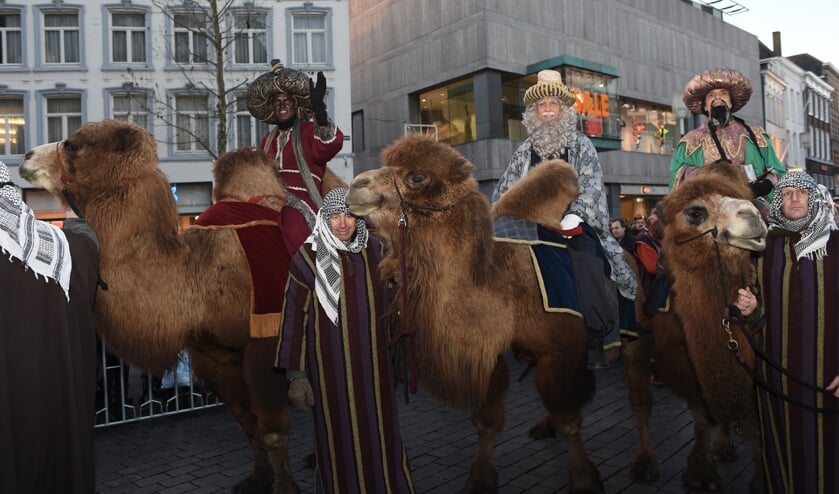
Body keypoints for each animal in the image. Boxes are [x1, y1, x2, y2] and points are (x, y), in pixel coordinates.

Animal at [18, 119, 344, 494]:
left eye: (73, 145)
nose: (26, 157)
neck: (198, 277)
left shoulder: (265, 339)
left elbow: (273, 431)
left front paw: (286, 487)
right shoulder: (212, 354)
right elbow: (248, 425)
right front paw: (257, 479)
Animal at [348, 132, 604, 494]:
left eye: (416, 177)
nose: (356, 186)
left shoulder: (560, 350)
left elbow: (569, 421)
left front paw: (584, 478)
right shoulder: (488, 356)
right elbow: (486, 422)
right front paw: (481, 478)